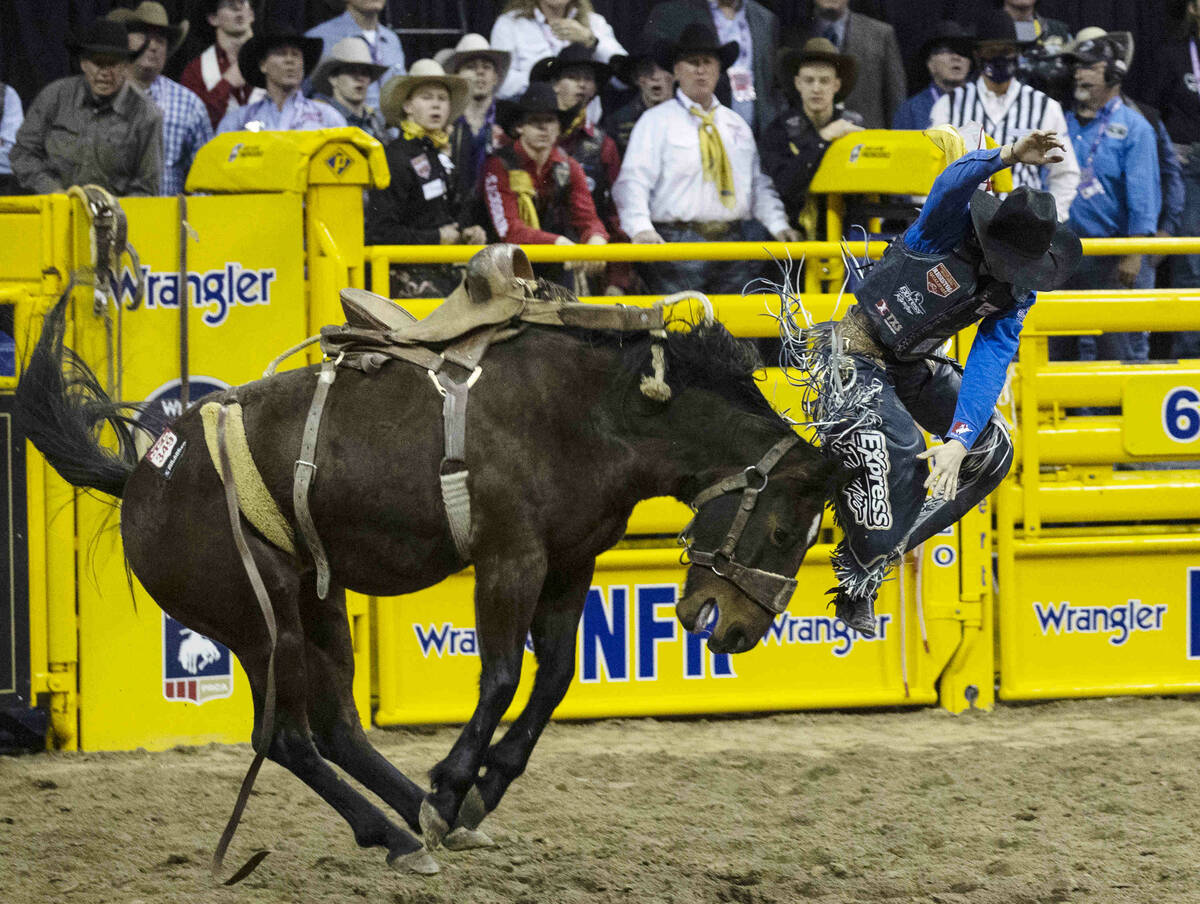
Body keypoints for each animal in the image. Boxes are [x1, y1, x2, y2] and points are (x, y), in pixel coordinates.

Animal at [18, 243, 844, 878]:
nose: (735, 629)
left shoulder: (570, 562)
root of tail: (145, 472)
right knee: (284, 736)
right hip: (256, 615)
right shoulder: (509, 558)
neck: (600, 409)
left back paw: (413, 818)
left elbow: (553, 678)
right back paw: (400, 827)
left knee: (339, 726)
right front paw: (454, 783)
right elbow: (503, 675)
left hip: (318, 600)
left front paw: (475, 790)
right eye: (785, 532)